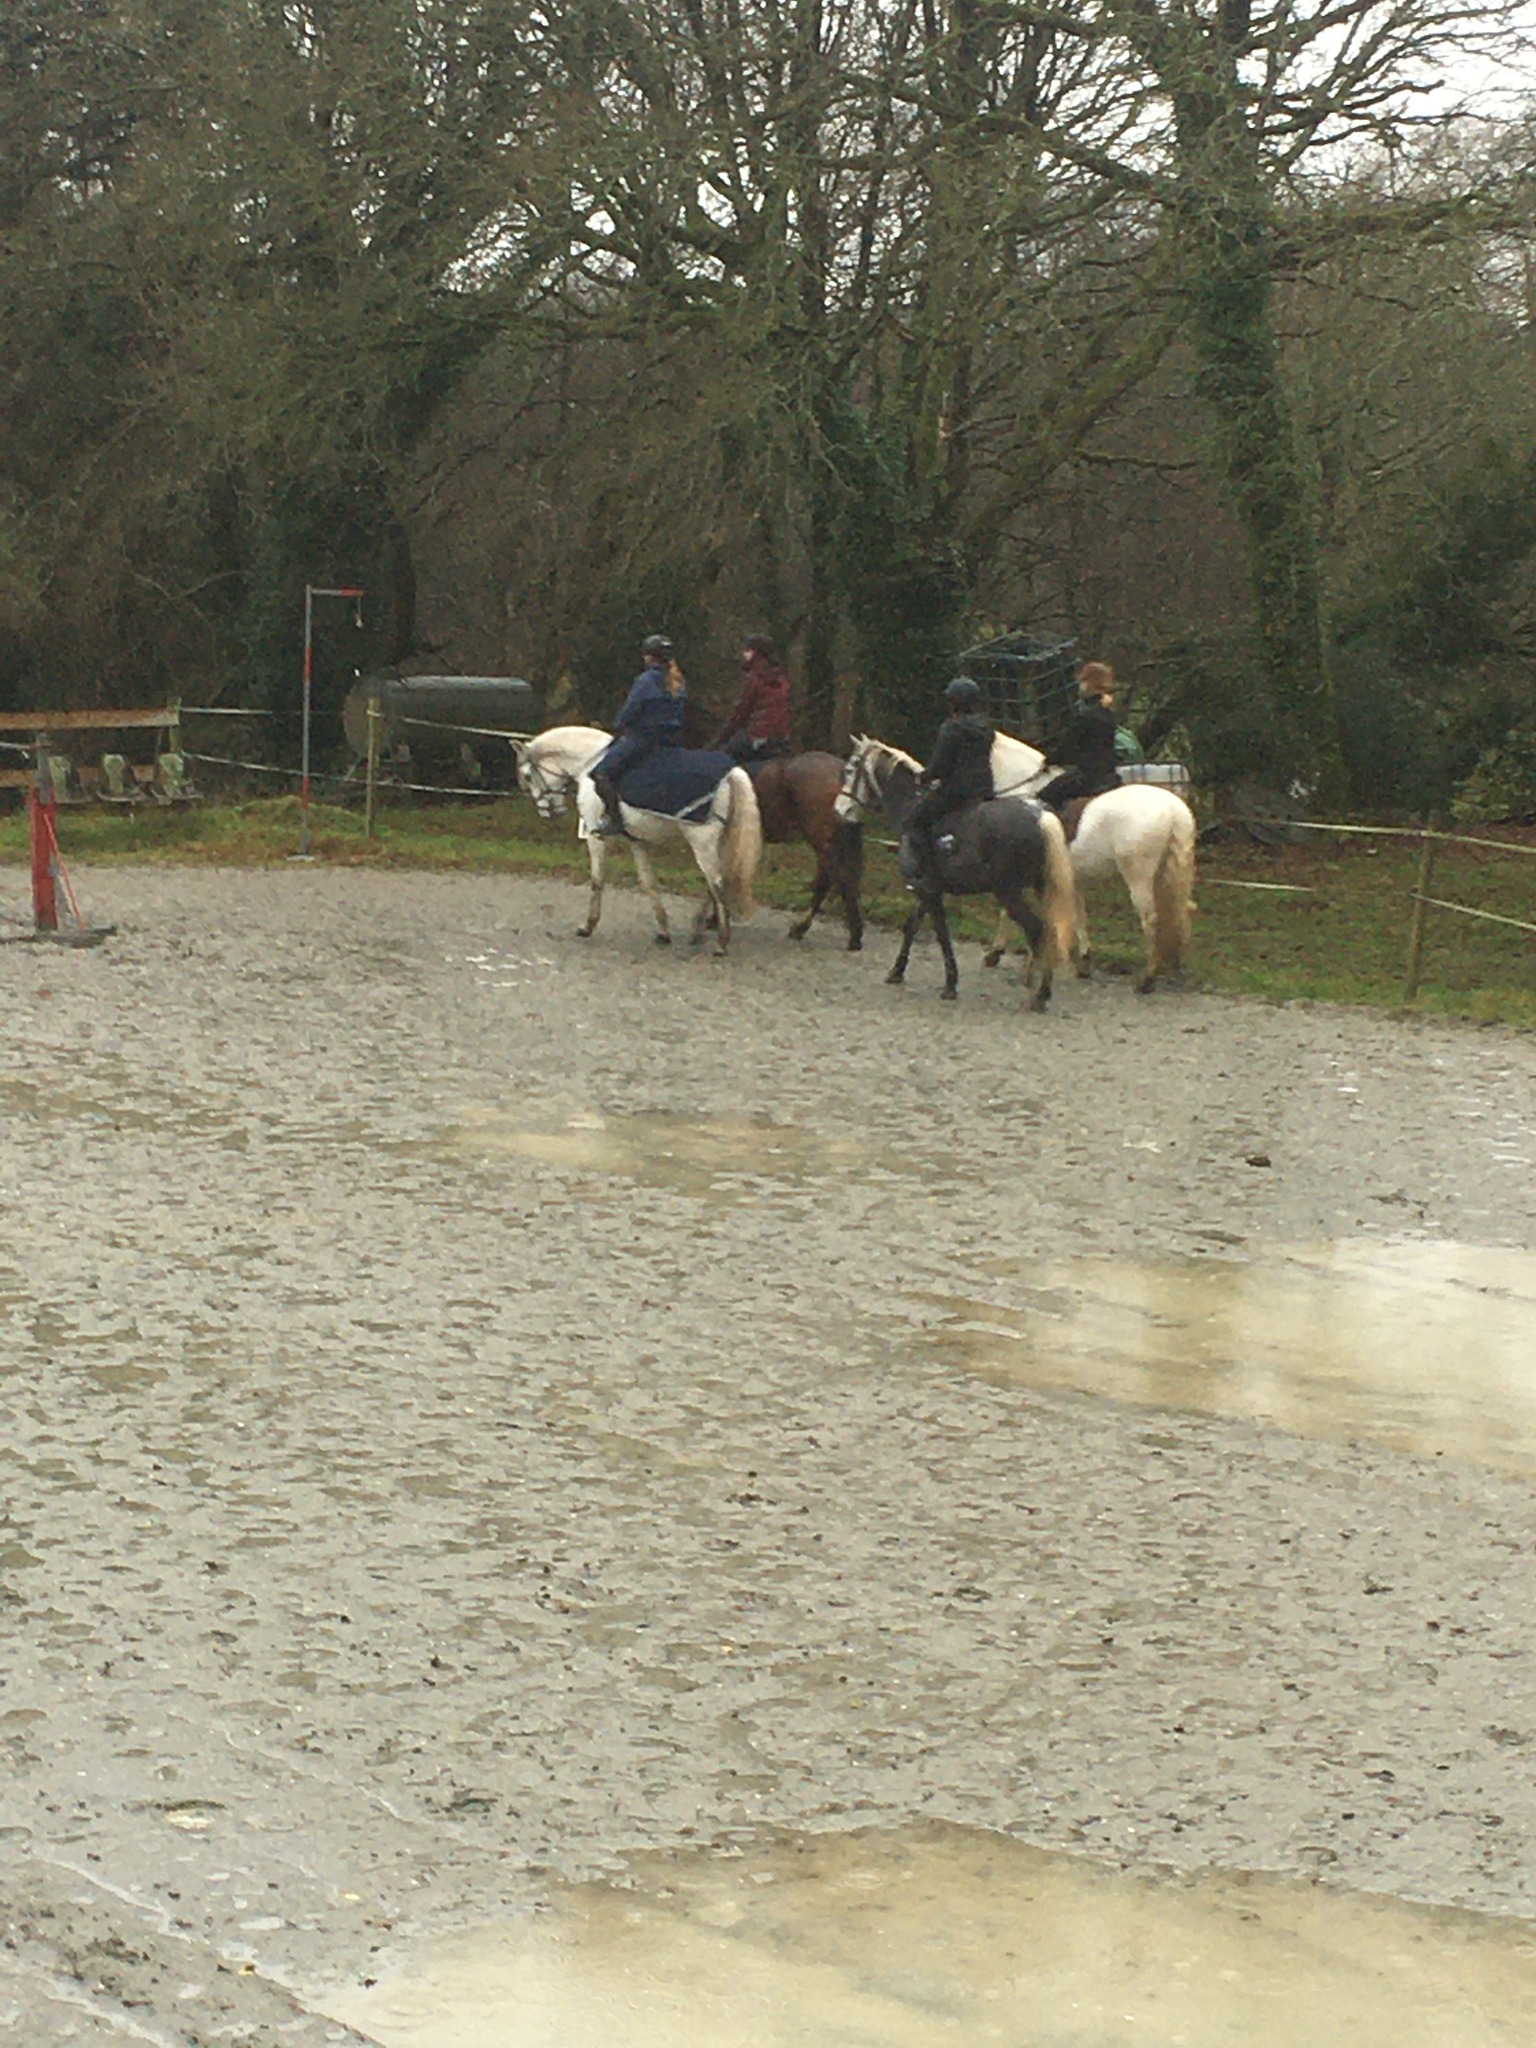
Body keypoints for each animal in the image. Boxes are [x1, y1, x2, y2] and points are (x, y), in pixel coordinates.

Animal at [518, 724, 765, 954]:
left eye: (529, 776)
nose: (548, 812)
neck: (589, 762)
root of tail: (730, 773)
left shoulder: (596, 837)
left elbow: (597, 880)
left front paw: (588, 926)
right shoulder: (635, 840)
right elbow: (648, 882)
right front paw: (663, 931)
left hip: (702, 842)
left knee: (717, 885)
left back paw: (721, 942)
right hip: (720, 842)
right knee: (715, 884)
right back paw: (699, 931)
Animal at [987, 737, 1204, 991]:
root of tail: (1173, 809)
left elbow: (1012, 911)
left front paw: (1000, 954)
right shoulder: (1071, 878)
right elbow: (1078, 914)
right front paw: (1082, 962)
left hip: (1139, 876)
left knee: (1151, 918)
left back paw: (1147, 979)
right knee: (1181, 910)